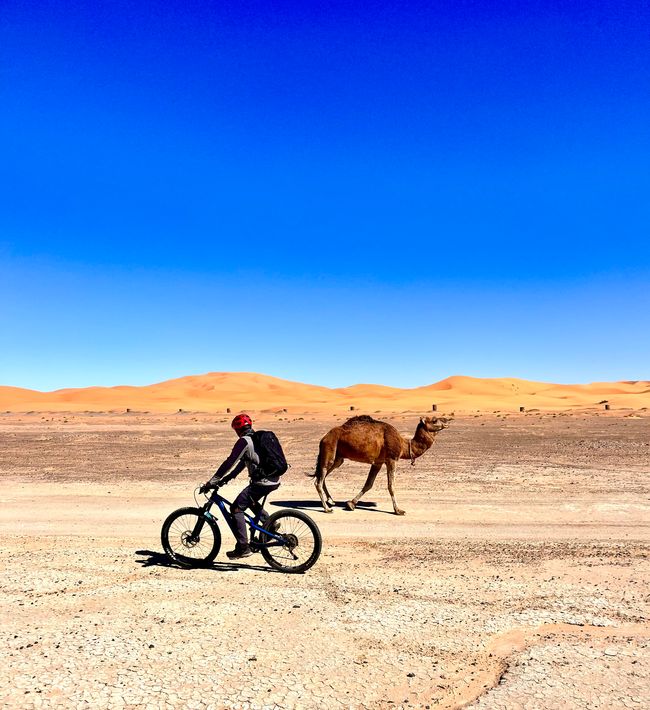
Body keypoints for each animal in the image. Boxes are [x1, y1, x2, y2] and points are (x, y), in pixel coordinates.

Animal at [306, 414, 448, 516]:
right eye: (434, 420)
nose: (447, 420)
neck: (403, 445)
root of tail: (324, 438)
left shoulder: (378, 463)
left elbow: (368, 484)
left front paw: (351, 504)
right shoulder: (391, 459)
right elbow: (391, 485)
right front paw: (398, 510)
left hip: (338, 458)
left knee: (322, 476)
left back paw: (331, 501)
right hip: (330, 449)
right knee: (318, 480)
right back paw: (327, 509)